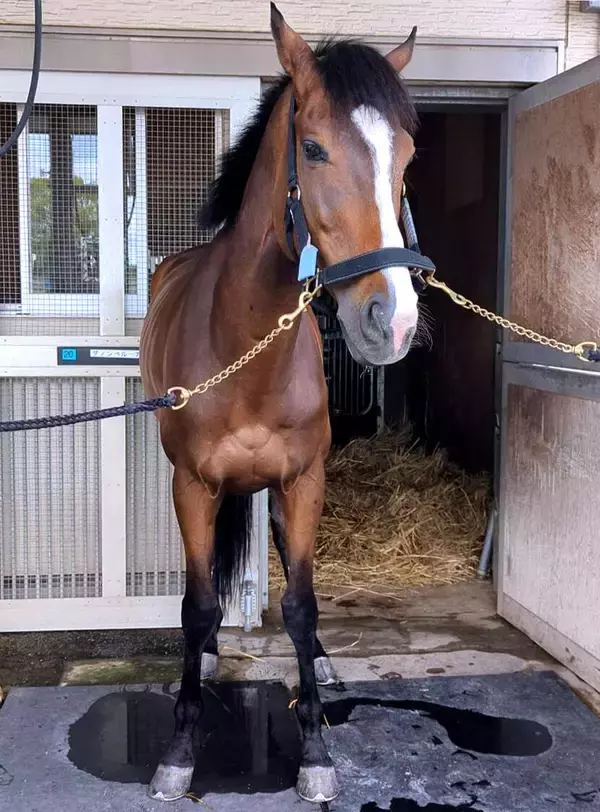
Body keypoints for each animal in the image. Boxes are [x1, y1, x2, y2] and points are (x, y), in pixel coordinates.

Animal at [140, 3, 425, 803]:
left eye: (407, 156)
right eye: (314, 148)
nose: (392, 320)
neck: (243, 343)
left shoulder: (304, 482)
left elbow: (300, 603)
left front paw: (317, 749)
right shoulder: (192, 485)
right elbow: (199, 603)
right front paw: (180, 747)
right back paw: (205, 657)